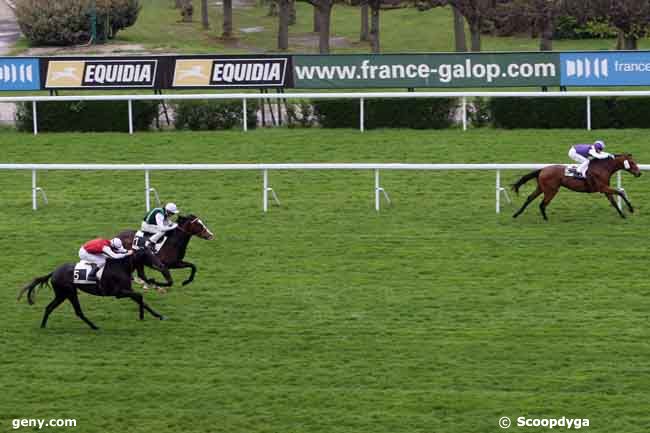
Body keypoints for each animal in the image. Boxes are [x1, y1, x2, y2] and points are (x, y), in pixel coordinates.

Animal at [19, 246, 172, 328]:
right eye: (147, 254)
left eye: (153, 252)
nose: (161, 265)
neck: (121, 266)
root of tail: (54, 272)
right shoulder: (118, 293)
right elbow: (139, 296)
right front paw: (141, 316)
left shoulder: (127, 290)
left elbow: (142, 301)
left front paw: (159, 316)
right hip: (69, 292)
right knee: (77, 311)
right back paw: (94, 326)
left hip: (62, 294)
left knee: (49, 307)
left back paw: (43, 326)